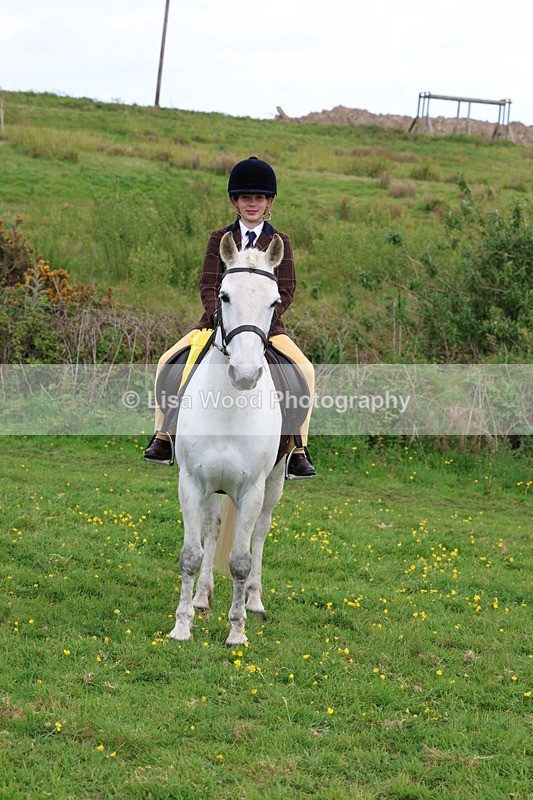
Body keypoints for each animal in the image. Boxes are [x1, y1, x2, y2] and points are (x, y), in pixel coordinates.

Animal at [169, 231, 286, 647]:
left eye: (274, 301)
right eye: (224, 295)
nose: (245, 374)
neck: (228, 405)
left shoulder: (251, 490)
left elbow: (240, 561)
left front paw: (237, 631)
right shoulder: (191, 483)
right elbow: (191, 554)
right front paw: (182, 625)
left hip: (273, 484)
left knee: (261, 533)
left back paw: (254, 601)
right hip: (213, 488)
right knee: (213, 528)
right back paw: (202, 597)